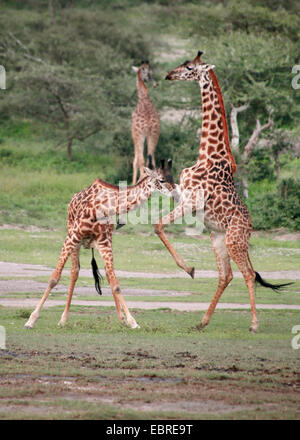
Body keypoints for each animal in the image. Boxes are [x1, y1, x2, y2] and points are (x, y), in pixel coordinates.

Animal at [25, 158, 178, 330]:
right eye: (162, 180)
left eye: (172, 177)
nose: (176, 194)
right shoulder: (71, 238)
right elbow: (54, 278)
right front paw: (31, 320)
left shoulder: (104, 242)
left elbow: (116, 284)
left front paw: (131, 321)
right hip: (75, 242)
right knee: (74, 272)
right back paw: (63, 319)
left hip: (104, 242)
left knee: (107, 274)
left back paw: (120, 318)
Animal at [155, 51, 290, 332]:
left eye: (189, 67)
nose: (169, 74)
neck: (207, 154)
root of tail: (250, 228)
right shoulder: (182, 195)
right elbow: (164, 197)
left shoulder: (191, 202)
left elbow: (158, 225)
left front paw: (187, 268)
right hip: (217, 238)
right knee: (226, 275)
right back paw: (202, 321)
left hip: (233, 240)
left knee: (247, 273)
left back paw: (254, 324)